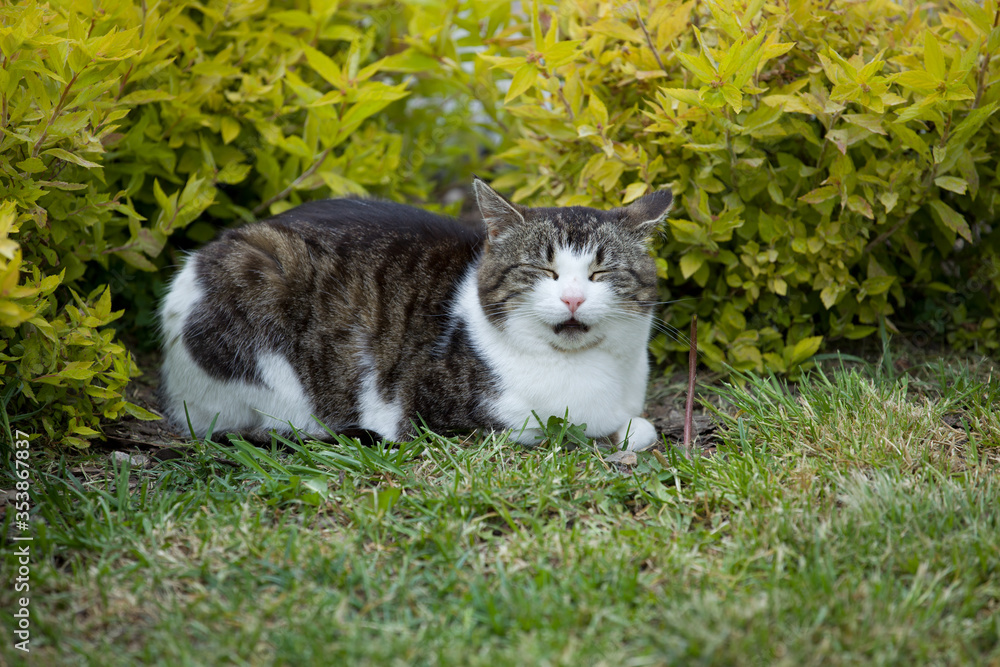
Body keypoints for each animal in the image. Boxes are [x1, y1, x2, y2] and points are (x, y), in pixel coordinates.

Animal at [158, 177, 672, 452]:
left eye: (601, 272)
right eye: (543, 270)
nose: (572, 299)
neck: (580, 369)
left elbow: (638, 426)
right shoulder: (442, 409)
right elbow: (550, 429)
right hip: (259, 283)